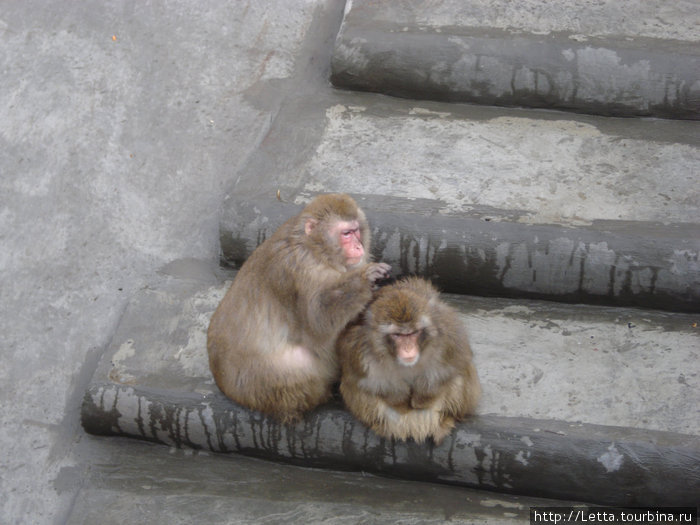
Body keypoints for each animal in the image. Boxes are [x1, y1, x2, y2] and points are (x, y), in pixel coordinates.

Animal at [208, 194, 394, 424]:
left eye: (356, 230)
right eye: (346, 233)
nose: (359, 247)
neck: (316, 248)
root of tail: (222, 383)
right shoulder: (302, 268)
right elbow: (319, 320)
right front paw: (364, 279)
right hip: (257, 388)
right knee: (299, 366)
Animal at [340, 276, 482, 444]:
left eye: (413, 333)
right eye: (398, 335)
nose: (408, 349)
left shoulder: (448, 335)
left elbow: (454, 364)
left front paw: (421, 399)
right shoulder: (360, 349)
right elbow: (367, 381)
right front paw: (400, 401)